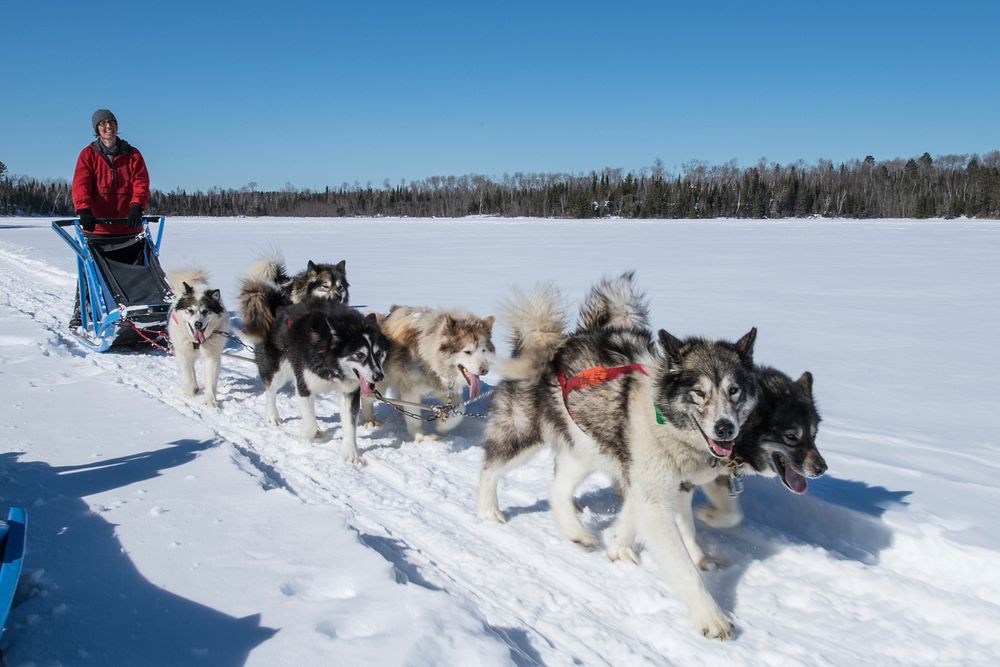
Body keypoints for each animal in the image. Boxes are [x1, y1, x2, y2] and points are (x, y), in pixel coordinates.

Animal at [168, 268, 230, 410]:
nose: (198, 324)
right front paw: (189, 394)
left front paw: (210, 400)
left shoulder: (212, 356)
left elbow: (210, 379)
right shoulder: (183, 354)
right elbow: (187, 375)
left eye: (206, 311)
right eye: (190, 310)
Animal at [238, 274, 386, 462]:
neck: (329, 361)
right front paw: (312, 435)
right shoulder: (304, 387)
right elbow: (309, 424)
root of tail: (278, 308)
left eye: (378, 353)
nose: (379, 376)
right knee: (270, 392)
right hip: (276, 371)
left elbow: (350, 427)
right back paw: (272, 416)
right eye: (359, 354)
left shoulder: (349, 393)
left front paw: (352, 454)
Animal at [362, 308, 498, 444]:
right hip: (379, 383)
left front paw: (443, 425)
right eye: (467, 352)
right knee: (367, 399)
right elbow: (414, 418)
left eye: (483, 350)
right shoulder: (410, 390)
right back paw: (369, 420)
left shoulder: (445, 390)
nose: (484, 370)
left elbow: (460, 410)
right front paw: (421, 436)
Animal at [476, 274, 756, 640]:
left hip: (586, 449)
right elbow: (683, 567)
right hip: (524, 435)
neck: (665, 417)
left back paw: (577, 533)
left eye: (734, 391)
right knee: (490, 467)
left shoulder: (666, 485)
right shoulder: (653, 494)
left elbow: (663, 517)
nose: (725, 428)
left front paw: (620, 544)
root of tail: (551, 343)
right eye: (699, 393)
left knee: (557, 489)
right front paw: (710, 616)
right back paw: (488, 510)